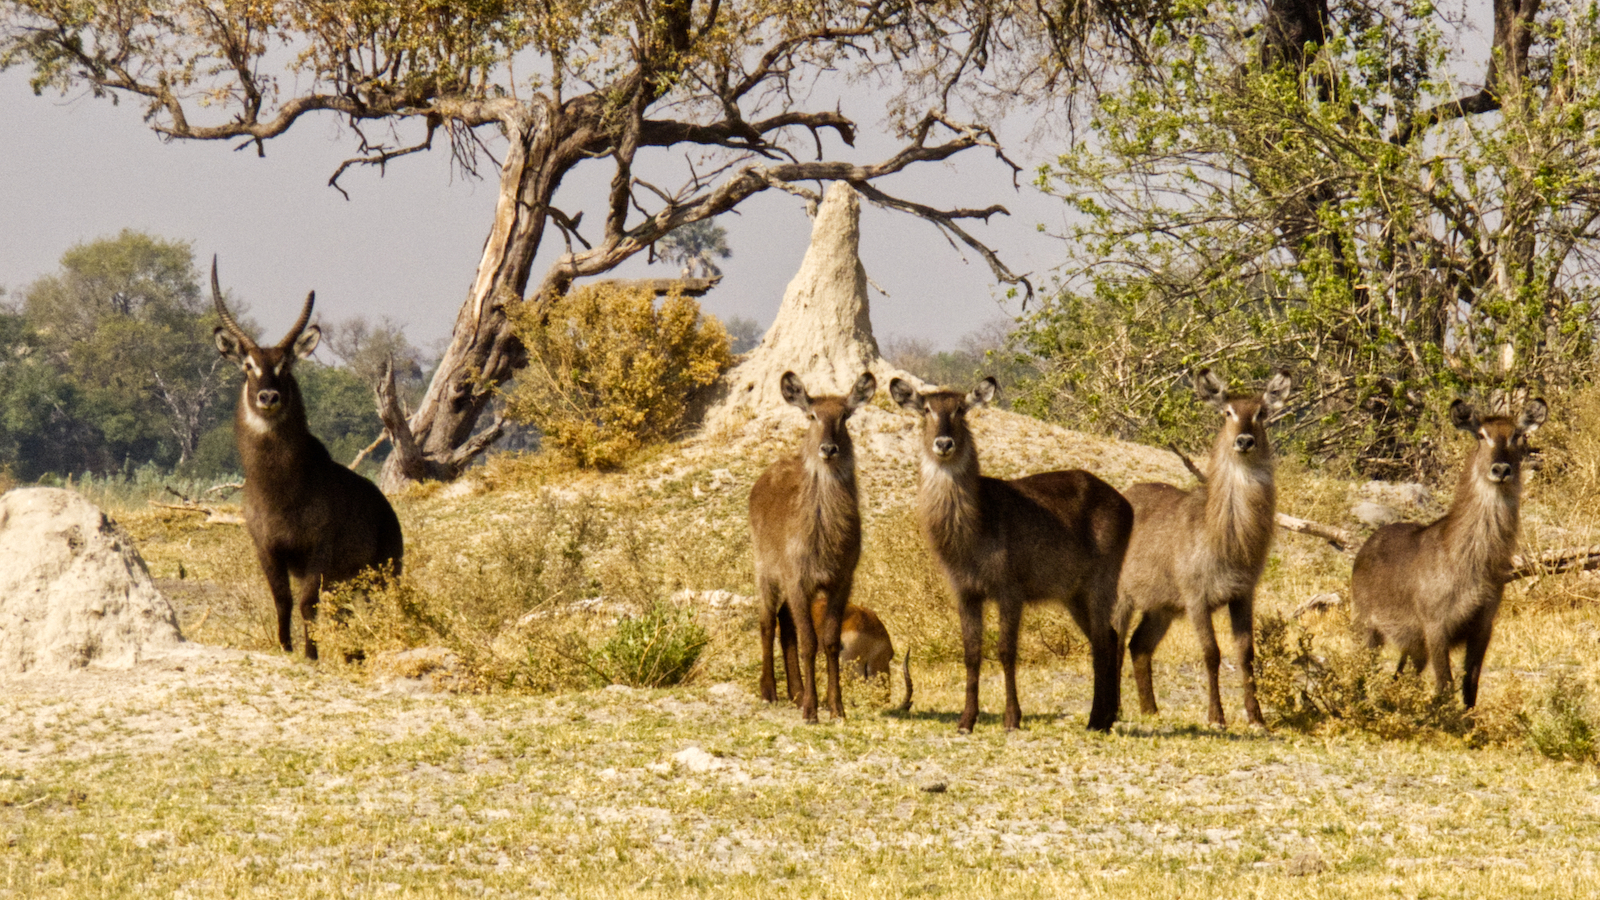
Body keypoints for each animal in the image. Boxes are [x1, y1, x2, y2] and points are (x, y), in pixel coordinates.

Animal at [748, 368, 876, 717]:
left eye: (845, 415)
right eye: (812, 415)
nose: (828, 449)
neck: (824, 539)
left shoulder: (840, 581)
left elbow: (829, 641)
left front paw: (835, 706)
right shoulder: (797, 579)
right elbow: (809, 642)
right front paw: (811, 710)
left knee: (784, 620)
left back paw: (796, 691)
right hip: (765, 569)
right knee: (767, 621)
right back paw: (769, 690)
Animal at [883, 374, 1132, 733]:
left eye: (960, 410)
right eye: (926, 410)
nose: (944, 444)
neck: (973, 528)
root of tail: (1124, 502)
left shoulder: (1009, 591)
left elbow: (1005, 650)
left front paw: (1012, 718)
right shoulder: (966, 593)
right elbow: (971, 653)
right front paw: (966, 720)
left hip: (1101, 582)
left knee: (1101, 641)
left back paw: (1095, 720)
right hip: (1073, 594)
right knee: (1109, 637)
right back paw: (1107, 717)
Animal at [1120, 368, 1292, 723]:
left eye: (1261, 413)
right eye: (1227, 412)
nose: (1244, 441)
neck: (1228, 541)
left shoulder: (1242, 594)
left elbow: (1246, 653)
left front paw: (1257, 717)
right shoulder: (1195, 596)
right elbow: (1212, 653)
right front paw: (1216, 716)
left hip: (1161, 607)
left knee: (1138, 645)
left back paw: (1150, 710)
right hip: (1120, 597)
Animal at [1356, 395, 1542, 704]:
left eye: (1518, 434)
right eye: (1481, 435)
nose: (1501, 469)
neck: (1471, 562)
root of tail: (1367, 545)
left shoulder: (1483, 626)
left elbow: (1470, 687)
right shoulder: (1435, 626)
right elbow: (1444, 685)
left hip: (1413, 646)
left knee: (1399, 676)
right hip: (1366, 628)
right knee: (1359, 672)